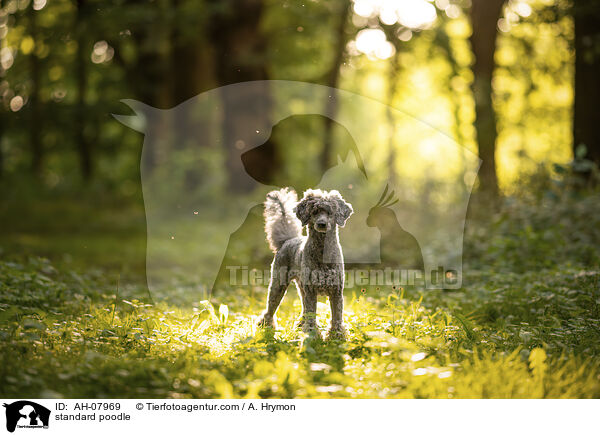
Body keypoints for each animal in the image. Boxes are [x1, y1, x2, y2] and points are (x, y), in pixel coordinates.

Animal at [256, 188, 352, 340]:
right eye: (314, 211)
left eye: (330, 212)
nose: (322, 224)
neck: (322, 252)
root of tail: (287, 240)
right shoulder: (311, 292)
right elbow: (312, 314)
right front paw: (312, 335)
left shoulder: (336, 292)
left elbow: (337, 316)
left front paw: (337, 336)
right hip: (278, 284)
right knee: (271, 308)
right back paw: (266, 326)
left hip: (301, 288)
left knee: (303, 308)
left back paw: (301, 325)